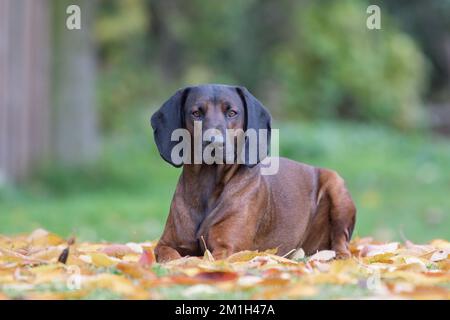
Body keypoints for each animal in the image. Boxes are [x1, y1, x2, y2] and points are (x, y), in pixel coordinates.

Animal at [151, 84, 356, 262]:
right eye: (196, 113)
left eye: (232, 112)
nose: (215, 142)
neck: (208, 183)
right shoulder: (166, 244)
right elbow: (170, 256)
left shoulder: (227, 248)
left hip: (336, 185)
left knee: (341, 240)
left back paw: (340, 255)